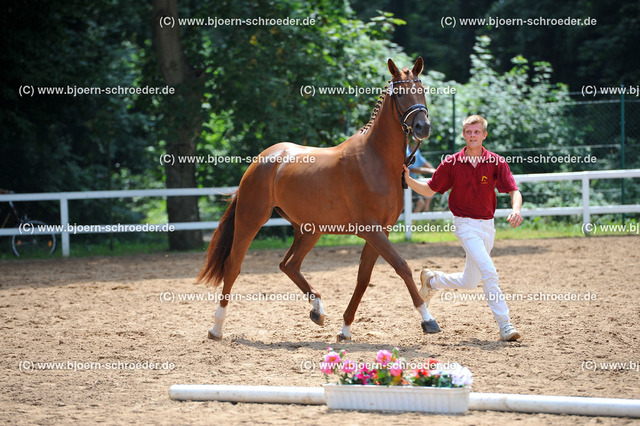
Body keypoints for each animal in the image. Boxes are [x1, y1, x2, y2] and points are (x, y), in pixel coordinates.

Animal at [199, 57, 440, 342]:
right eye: (401, 93)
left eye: (422, 89)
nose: (422, 127)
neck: (375, 159)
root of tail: (261, 160)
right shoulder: (371, 230)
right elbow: (402, 266)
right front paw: (428, 319)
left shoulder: (381, 231)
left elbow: (363, 278)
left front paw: (345, 329)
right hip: (250, 221)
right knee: (233, 266)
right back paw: (216, 327)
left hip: (309, 229)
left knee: (288, 265)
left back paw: (317, 310)